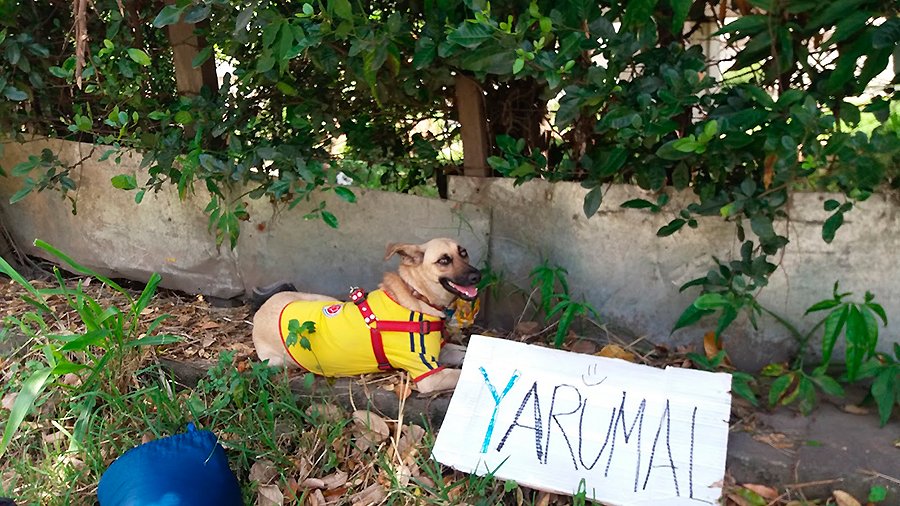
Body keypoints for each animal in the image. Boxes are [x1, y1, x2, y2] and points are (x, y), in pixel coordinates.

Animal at [250, 238, 482, 396]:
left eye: (463, 253)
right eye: (444, 260)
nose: (477, 276)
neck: (417, 295)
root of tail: (261, 309)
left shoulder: (442, 350)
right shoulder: (431, 375)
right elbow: (467, 373)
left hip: (322, 299)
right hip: (277, 362)